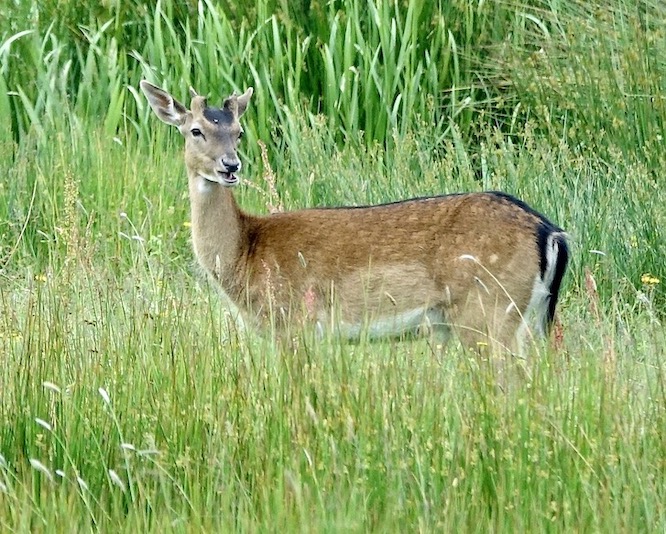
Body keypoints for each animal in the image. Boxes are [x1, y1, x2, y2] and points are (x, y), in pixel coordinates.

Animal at [140, 80, 568, 354]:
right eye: (196, 131)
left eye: (240, 132)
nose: (230, 166)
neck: (245, 253)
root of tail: (550, 232)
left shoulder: (293, 325)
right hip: (524, 319)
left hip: (487, 312)